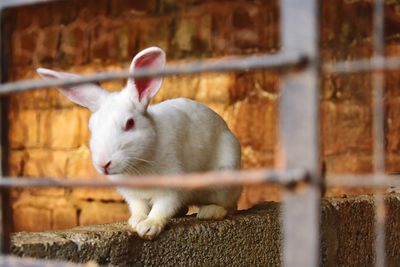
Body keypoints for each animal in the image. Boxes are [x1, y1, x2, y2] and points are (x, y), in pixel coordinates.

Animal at [37, 46, 242, 241]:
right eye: (91, 126)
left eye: (129, 123)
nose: (103, 164)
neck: (139, 164)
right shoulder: (133, 195)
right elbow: (139, 208)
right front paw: (136, 221)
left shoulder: (171, 186)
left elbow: (162, 207)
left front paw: (149, 227)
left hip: (224, 178)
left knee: (230, 205)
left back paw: (210, 212)